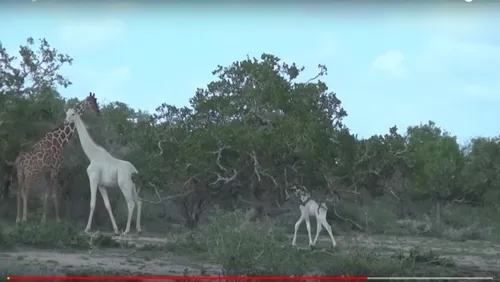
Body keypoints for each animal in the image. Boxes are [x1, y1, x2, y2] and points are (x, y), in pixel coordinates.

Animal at [11, 92, 100, 225]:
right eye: (93, 102)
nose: (98, 112)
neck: (60, 141)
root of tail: (19, 159)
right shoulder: (55, 169)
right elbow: (54, 194)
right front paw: (58, 219)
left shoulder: (47, 172)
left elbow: (46, 194)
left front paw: (43, 219)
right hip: (31, 173)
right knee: (24, 190)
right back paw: (24, 218)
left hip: (20, 173)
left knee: (18, 190)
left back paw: (17, 219)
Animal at [65, 108, 143, 236]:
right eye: (66, 113)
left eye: (73, 114)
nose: (66, 121)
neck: (92, 155)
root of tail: (134, 171)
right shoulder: (101, 185)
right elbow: (107, 205)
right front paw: (115, 229)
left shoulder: (93, 180)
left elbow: (92, 203)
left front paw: (87, 228)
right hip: (133, 187)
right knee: (139, 202)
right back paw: (138, 229)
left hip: (125, 185)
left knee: (131, 203)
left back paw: (126, 230)